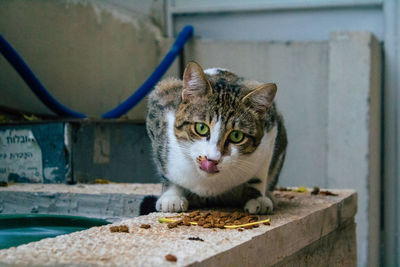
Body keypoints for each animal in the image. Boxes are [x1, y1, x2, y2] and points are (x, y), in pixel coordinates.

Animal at [145, 61, 286, 215]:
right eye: (201, 127)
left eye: (236, 136)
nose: (212, 159)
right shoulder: (160, 101)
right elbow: (165, 168)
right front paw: (172, 196)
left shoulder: (271, 129)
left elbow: (260, 174)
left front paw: (257, 197)